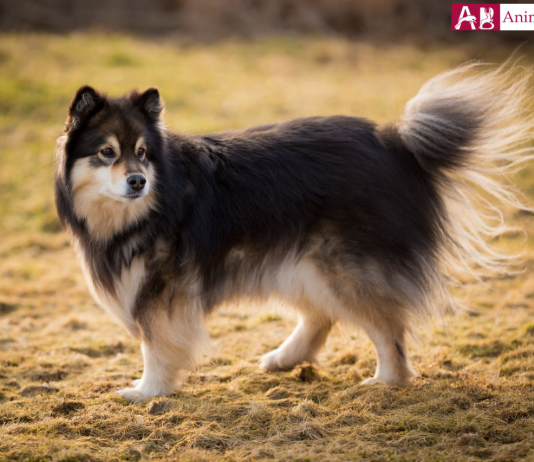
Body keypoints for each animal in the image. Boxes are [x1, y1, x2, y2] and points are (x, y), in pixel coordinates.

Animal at [55, 63, 534, 402]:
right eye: (107, 153)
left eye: (142, 153)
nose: (138, 181)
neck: (149, 204)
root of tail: (394, 144)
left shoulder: (161, 290)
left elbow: (155, 344)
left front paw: (147, 391)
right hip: (298, 260)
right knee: (321, 316)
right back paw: (285, 359)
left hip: (340, 266)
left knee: (386, 327)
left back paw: (386, 381)